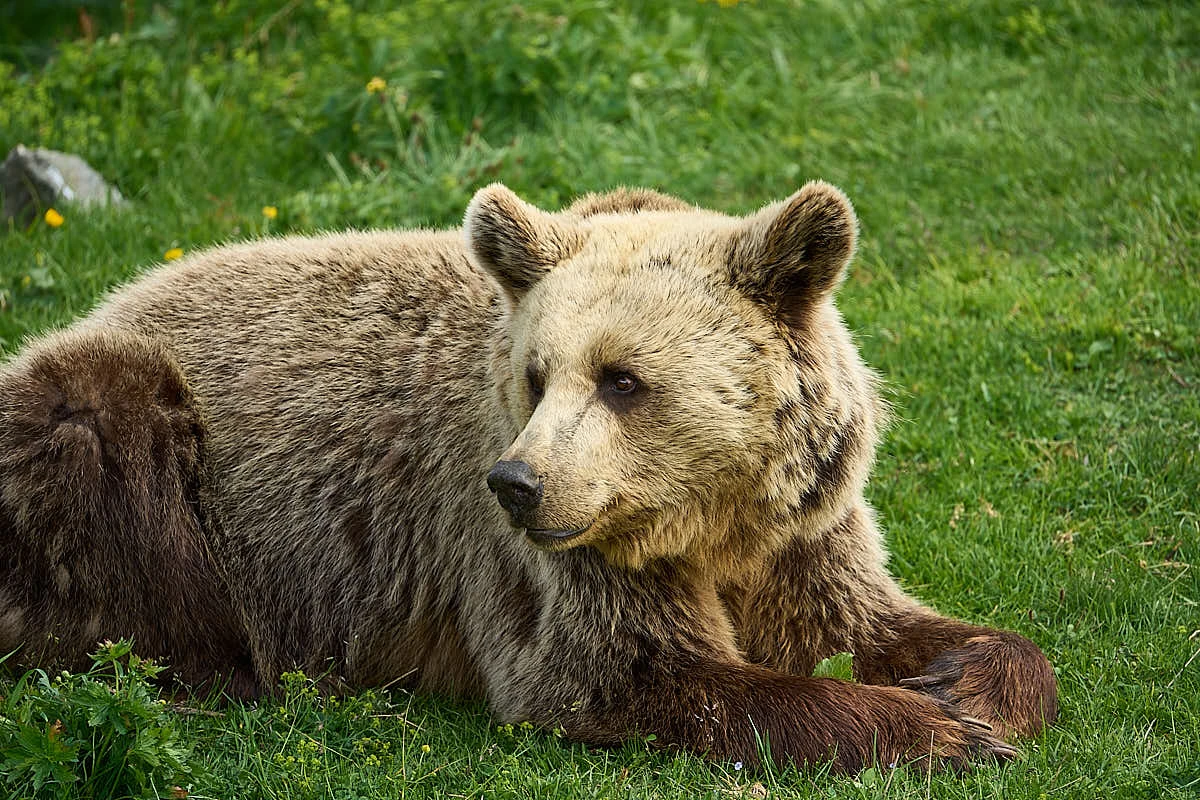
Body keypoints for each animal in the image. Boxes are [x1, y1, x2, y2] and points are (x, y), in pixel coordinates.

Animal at [0, 180, 1057, 772]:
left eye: (623, 378)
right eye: (538, 374)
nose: (518, 483)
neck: (707, 518)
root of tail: (111, 298)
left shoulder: (801, 527)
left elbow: (873, 618)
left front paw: (965, 684)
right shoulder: (548, 562)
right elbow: (628, 675)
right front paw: (938, 734)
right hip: (145, 451)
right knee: (97, 441)